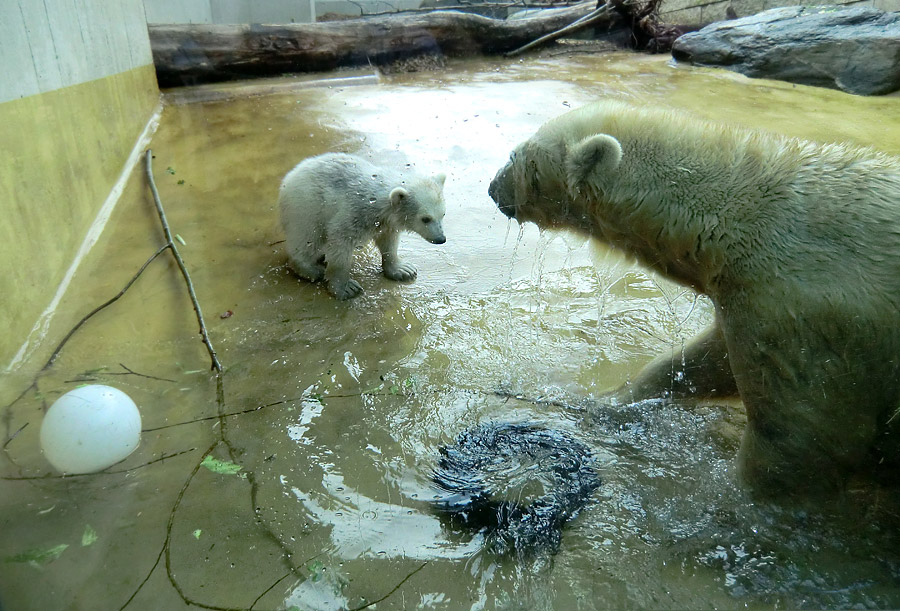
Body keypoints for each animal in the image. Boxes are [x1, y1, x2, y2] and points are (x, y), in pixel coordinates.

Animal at [488, 100, 900, 498]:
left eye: (515, 156)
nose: (492, 187)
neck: (742, 218)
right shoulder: (748, 301)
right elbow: (706, 363)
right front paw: (610, 401)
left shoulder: (806, 313)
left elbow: (804, 437)